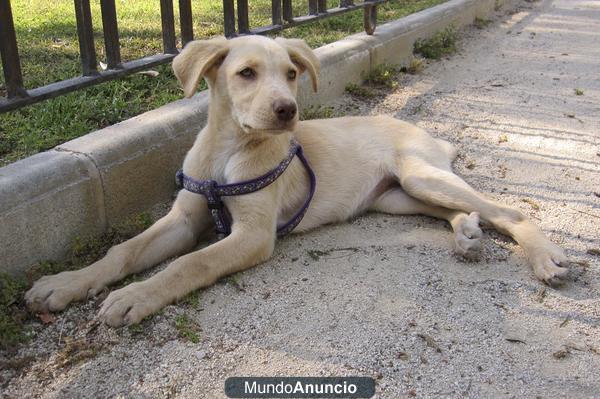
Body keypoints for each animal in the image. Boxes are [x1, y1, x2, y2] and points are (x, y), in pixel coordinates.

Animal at [25, 36, 568, 326]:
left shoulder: (253, 234)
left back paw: (546, 259)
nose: (288, 111)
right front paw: (65, 284)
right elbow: (124, 251)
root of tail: (425, 132)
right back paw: (467, 234)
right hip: (396, 197)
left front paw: (135, 297)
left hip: (421, 175)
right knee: (461, 211)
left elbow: (190, 264)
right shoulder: (182, 218)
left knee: (511, 211)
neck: (229, 153)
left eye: (290, 73)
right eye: (246, 73)